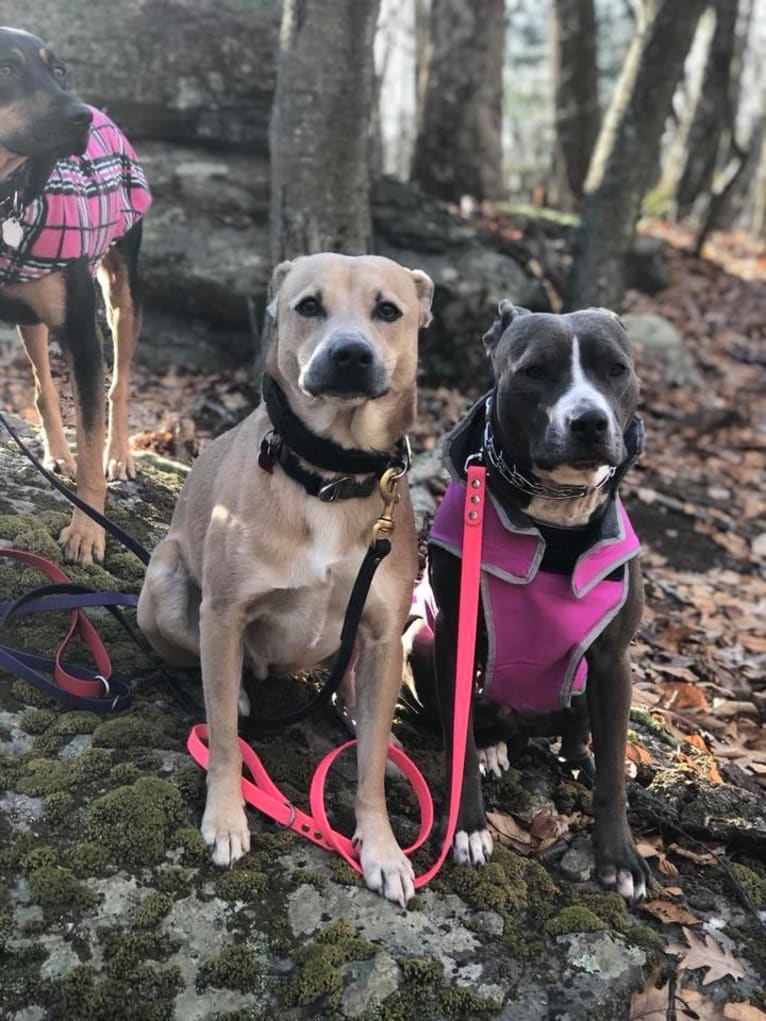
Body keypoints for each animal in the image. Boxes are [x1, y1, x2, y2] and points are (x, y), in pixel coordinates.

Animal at [0, 27, 151, 563]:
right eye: (6, 68)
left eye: (60, 70)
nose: (81, 115)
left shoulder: (84, 336)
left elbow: (89, 436)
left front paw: (87, 533)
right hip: (32, 316)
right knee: (43, 387)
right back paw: (55, 454)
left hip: (121, 289)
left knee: (119, 381)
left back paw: (120, 455)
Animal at [138, 255, 435, 910]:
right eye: (308, 306)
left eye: (388, 310)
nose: (349, 355)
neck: (328, 475)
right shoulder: (224, 612)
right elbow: (224, 738)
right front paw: (227, 815)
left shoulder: (382, 633)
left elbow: (368, 771)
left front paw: (381, 847)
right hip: (165, 582)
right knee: (204, 666)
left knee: (357, 701)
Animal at [408, 300, 653, 902]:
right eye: (534, 371)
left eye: (616, 369)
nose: (588, 421)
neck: (555, 515)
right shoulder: (454, 636)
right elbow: (458, 741)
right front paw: (466, 826)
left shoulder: (613, 661)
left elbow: (614, 773)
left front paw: (620, 856)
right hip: (420, 640)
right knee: (478, 723)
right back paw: (493, 747)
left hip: (585, 683)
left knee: (580, 732)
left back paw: (576, 757)